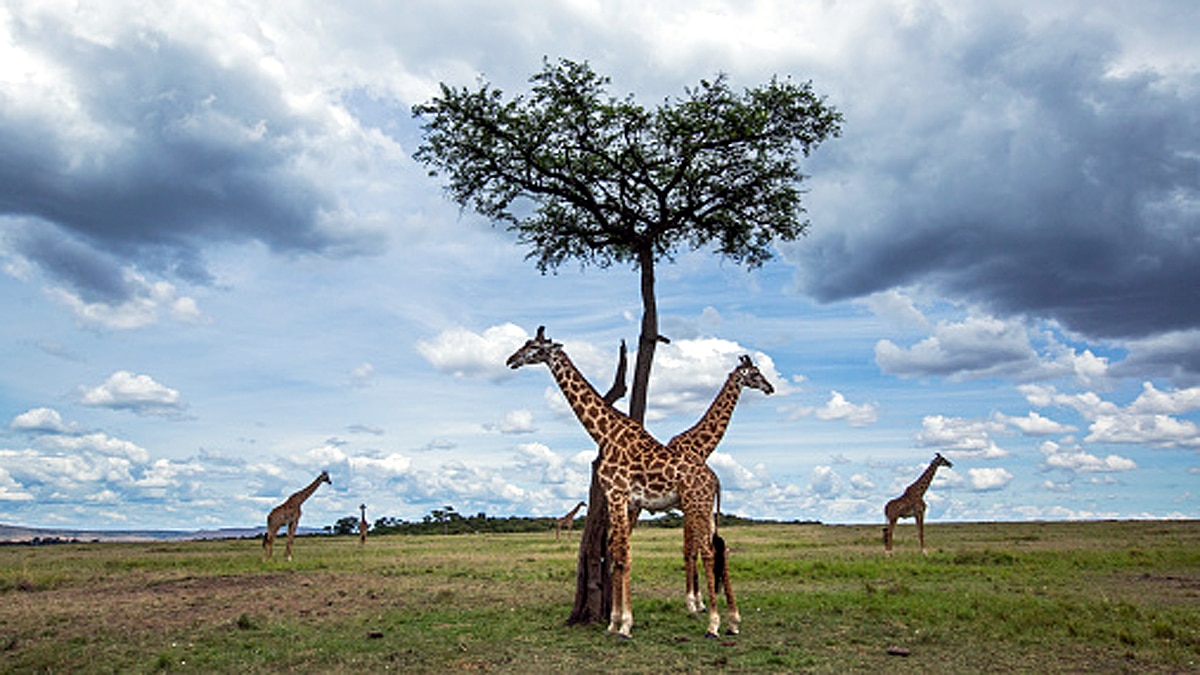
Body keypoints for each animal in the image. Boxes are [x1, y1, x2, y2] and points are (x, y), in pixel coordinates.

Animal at [506, 326, 732, 638]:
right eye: (525, 343)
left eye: (535, 347)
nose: (510, 360)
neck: (605, 434)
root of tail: (714, 478)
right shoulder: (623, 500)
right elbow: (617, 557)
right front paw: (614, 623)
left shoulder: (616, 494)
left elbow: (622, 557)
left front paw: (624, 625)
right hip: (704, 507)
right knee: (717, 550)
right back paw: (731, 621)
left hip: (696, 505)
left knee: (709, 552)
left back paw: (714, 624)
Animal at [665, 354, 774, 622]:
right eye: (755, 373)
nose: (770, 387)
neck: (699, 447)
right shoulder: (689, 507)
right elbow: (689, 550)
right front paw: (693, 603)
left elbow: (697, 548)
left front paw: (700, 601)